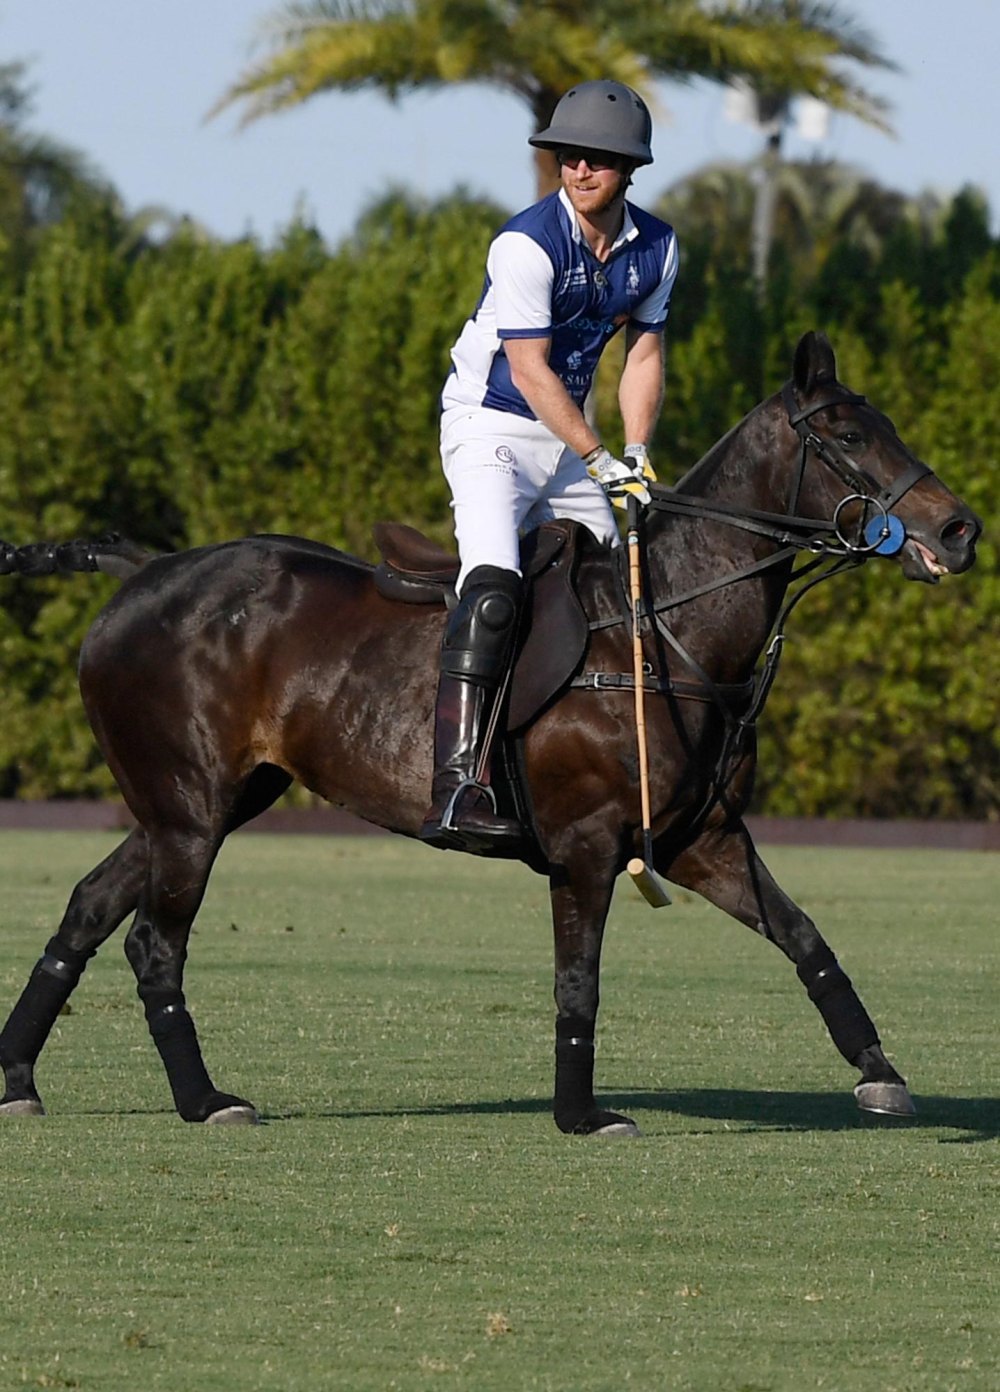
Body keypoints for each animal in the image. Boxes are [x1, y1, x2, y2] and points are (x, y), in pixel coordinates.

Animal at [0, 334, 980, 1130]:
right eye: (847, 436)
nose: (959, 529)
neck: (662, 624)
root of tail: (145, 568)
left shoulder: (702, 836)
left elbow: (807, 939)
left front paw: (881, 1074)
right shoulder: (588, 844)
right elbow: (579, 979)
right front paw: (583, 1115)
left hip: (204, 802)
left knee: (88, 909)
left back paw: (19, 1081)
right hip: (190, 809)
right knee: (154, 943)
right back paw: (205, 1100)